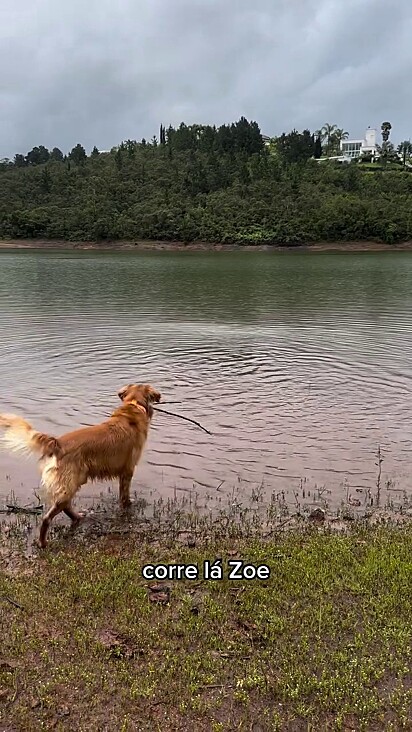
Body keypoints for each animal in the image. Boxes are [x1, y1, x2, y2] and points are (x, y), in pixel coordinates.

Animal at [0, 386, 161, 548]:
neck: (133, 405)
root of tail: (58, 443)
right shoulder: (128, 470)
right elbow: (125, 495)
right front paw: (128, 505)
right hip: (71, 483)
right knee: (48, 517)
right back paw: (43, 542)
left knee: (65, 506)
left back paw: (77, 518)